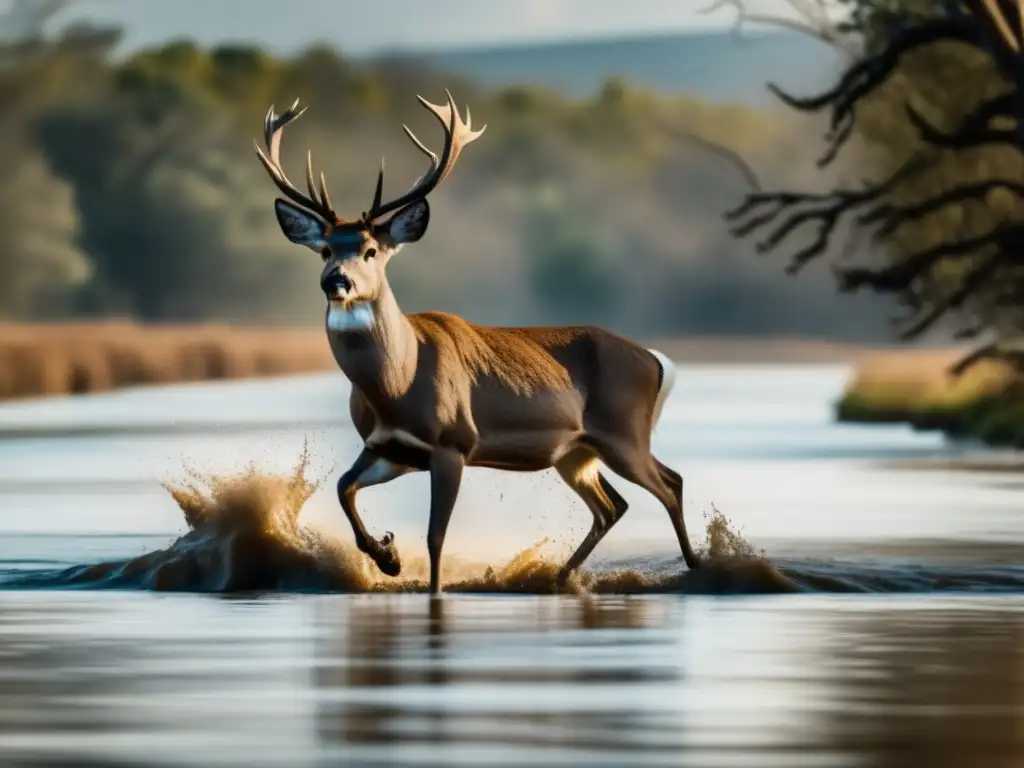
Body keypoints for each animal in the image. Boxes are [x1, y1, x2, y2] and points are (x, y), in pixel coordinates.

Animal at [253, 90, 704, 593]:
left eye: (371, 250)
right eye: (327, 249)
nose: (336, 281)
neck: (397, 384)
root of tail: (657, 361)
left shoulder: (453, 443)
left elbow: (435, 537)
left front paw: (427, 586)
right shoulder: (387, 448)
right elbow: (342, 487)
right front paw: (387, 557)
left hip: (624, 432)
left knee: (670, 482)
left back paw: (696, 565)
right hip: (576, 451)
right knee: (613, 505)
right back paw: (559, 576)